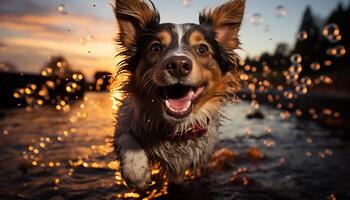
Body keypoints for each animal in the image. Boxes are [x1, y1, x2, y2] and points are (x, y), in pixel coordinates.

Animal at [113, 0, 245, 189]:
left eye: (203, 49)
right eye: (156, 47)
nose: (178, 65)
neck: (175, 129)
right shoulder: (125, 119)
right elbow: (125, 136)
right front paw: (136, 171)